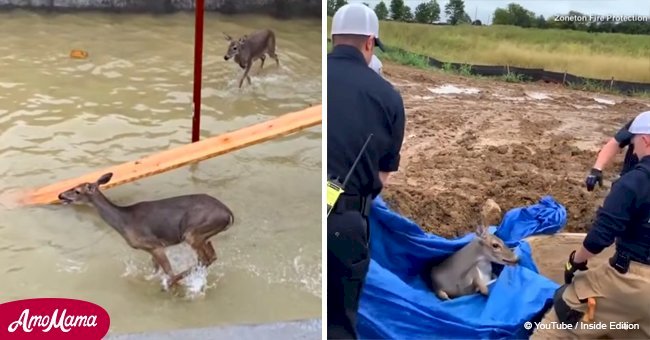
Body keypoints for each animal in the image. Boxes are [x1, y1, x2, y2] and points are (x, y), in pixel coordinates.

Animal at [55, 174, 233, 288]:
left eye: (77, 191)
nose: (60, 195)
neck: (124, 222)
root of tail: (229, 215)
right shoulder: (150, 249)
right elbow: (155, 270)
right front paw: (149, 279)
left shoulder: (155, 245)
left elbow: (168, 271)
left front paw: (168, 283)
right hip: (205, 236)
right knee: (210, 257)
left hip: (192, 233)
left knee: (205, 258)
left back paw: (174, 283)